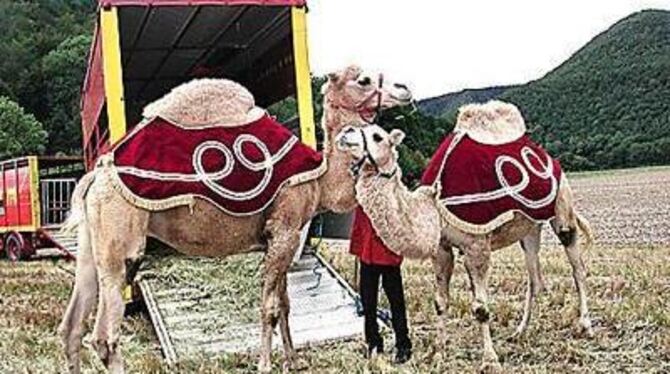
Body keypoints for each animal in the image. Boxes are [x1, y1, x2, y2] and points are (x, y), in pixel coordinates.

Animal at [59, 65, 414, 374]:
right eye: (363, 80)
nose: (404, 88)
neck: (319, 178)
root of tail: (95, 176)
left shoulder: (282, 239)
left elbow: (285, 303)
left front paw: (293, 360)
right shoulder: (284, 230)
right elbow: (270, 307)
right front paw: (266, 364)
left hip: (91, 247)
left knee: (71, 327)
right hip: (121, 242)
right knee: (103, 336)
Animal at [338, 101, 596, 372]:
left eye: (377, 136)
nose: (345, 132)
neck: (434, 205)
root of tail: (545, 156)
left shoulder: (476, 245)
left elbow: (481, 308)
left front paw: (490, 360)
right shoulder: (441, 248)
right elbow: (440, 302)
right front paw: (438, 354)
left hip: (562, 206)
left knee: (577, 265)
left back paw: (585, 326)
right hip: (529, 228)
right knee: (535, 278)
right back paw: (519, 332)